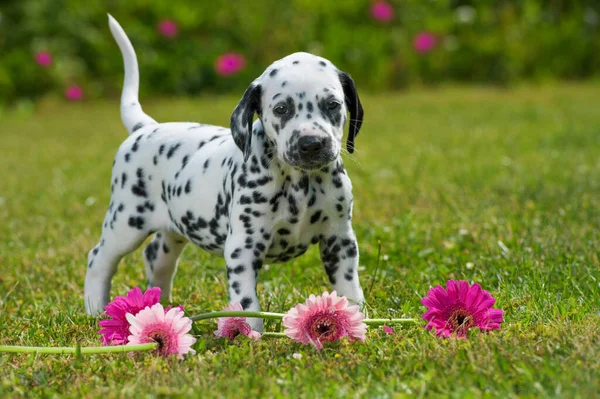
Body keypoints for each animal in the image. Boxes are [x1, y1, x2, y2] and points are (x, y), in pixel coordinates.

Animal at [84, 14, 366, 332]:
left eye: (333, 105)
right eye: (282, 108)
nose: (311, 144)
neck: (300, 184)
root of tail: (146, 127)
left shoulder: (340, 240)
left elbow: (349, 288)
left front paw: (357, 322)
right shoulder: (243, 247)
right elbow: (247, 302)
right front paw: (251, 335)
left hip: (171, 231)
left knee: (156, 256)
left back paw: (163, 308)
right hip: (125, 223)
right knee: (98, 259)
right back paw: (95, 309)